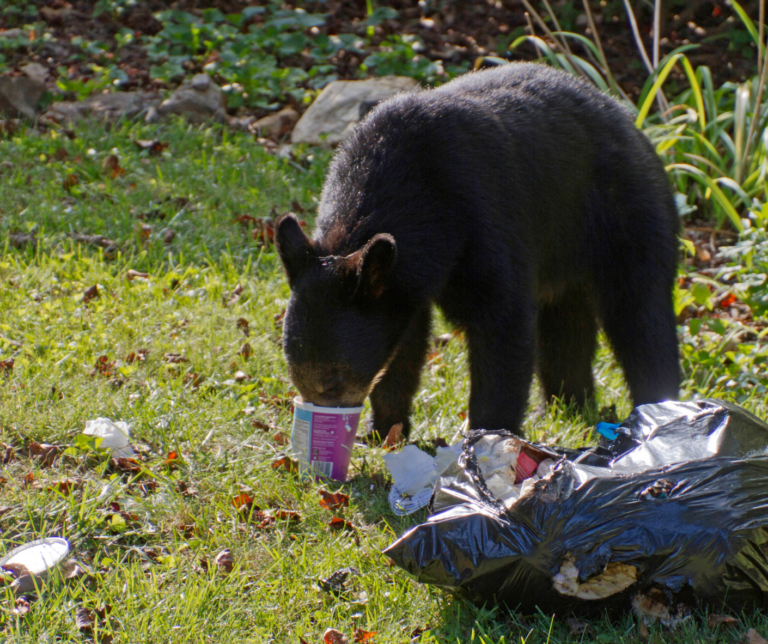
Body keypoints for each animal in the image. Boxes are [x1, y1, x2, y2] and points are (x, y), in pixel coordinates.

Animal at [274, 63, 680, 440]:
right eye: (297, 376)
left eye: (334, 380)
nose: (324, 422)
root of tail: (632, 123)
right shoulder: (403, 281)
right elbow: (405, 345)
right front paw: (384, 430)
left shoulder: (484, 219)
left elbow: (503, 324)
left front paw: (487, 436)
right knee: (566, 326)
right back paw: (566, 407)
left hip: (626, 215)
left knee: (641, 315)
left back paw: (657, 411)